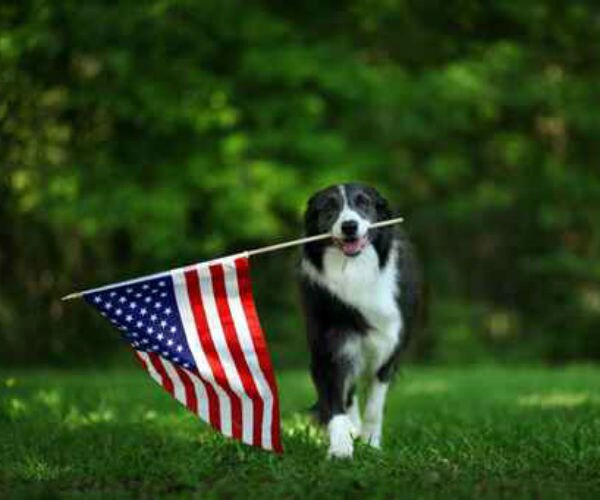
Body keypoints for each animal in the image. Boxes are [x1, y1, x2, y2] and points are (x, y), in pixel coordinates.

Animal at [298, 183, 422, 458]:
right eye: (330, 207)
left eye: (363, 202)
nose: (349, 226)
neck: (355, 271)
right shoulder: (328, 349)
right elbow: (335, 403)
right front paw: (341, 447)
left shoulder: (388, 350)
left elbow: (375, 404)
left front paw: (371, 443)